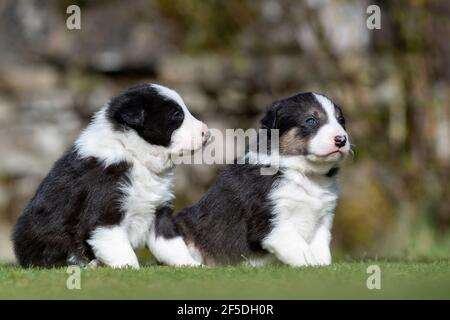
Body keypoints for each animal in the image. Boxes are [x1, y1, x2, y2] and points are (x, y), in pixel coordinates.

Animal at [12, 84, 209, 268]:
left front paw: (191, 264)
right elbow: (119, 248)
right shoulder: (106, 209)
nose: (206, 132)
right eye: (176, 115)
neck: (134, 155)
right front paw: (129, 268)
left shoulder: (159, 212)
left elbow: (172, 243)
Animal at [153, 91, 350, 266]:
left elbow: (321, 252)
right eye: (311, 120)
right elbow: (302, 252)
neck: (306, 174)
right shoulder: (272, 221)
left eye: (341, 121)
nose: (341, 139)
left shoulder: (323, 219)